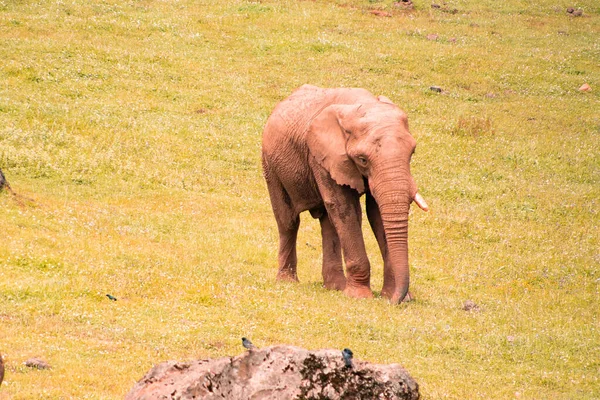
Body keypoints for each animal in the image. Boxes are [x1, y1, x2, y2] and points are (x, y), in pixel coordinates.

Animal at [262, 84, 426, 304]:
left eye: (412, 153)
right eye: (363, 159)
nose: (395, 302)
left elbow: (376, 213)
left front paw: (391, 295)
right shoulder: (322, 156)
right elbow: (344, 207)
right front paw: (360, 296)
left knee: (328, 223)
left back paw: (335, 287)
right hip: (271, 166)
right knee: (288, 221)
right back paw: (288, 282)